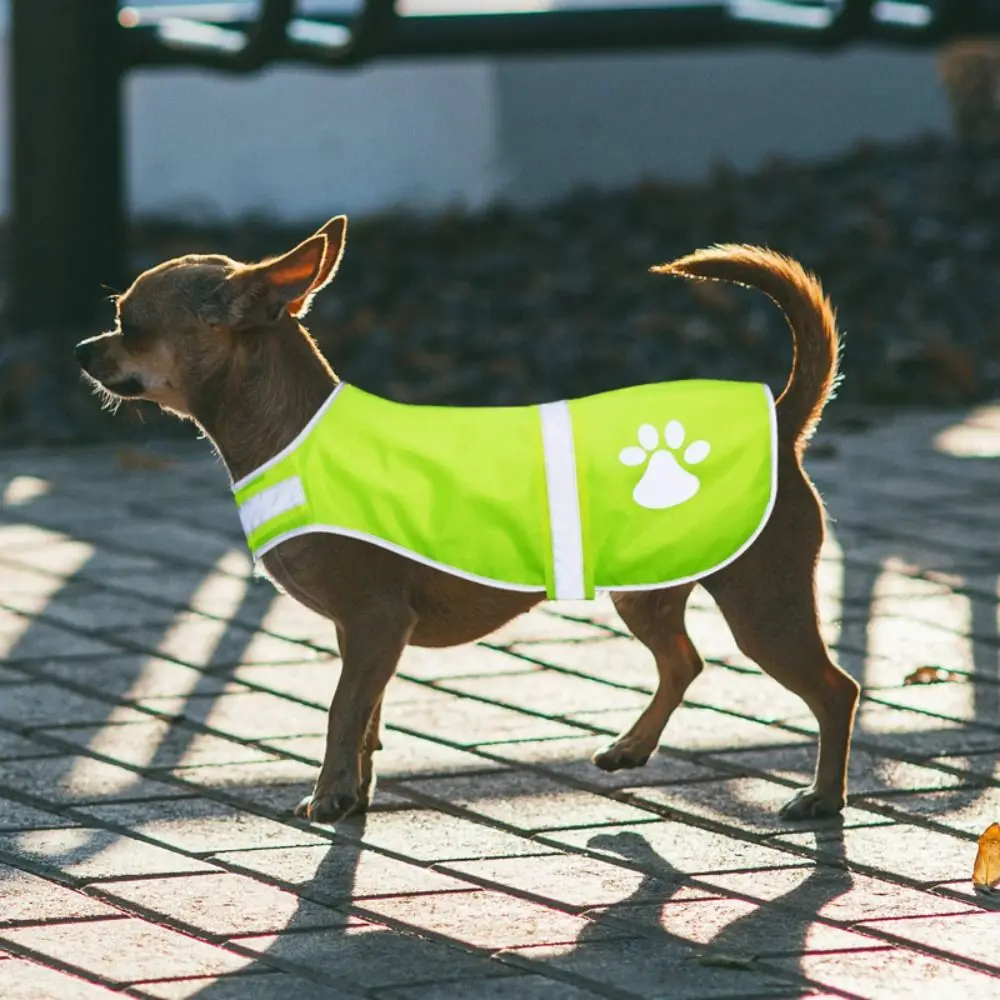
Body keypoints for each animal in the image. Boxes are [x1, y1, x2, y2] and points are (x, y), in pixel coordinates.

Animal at [76, 215, 860, 824]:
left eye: (130, 325)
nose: (80, 349)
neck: (288, 431)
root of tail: (779, 419)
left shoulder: (374, 622)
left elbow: (341, 711)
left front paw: (328, 797)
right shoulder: (365, 635)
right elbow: (366, 717)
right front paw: (355, 794)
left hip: (762, 609)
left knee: (834, 690)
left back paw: (823, 799)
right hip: (646, 596)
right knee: (683, 660)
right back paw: (632, 747)